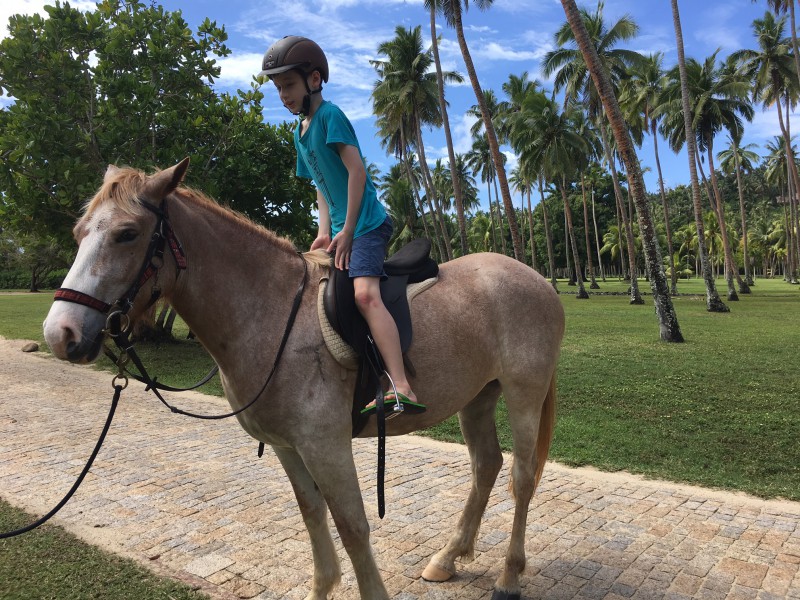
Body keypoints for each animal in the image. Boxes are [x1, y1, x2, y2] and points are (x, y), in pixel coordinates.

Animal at [42, 159, 564, 600]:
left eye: (127, 234)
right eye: (78, 233)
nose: (60, 334)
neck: (271, 313)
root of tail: (538, 279)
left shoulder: (325, 445)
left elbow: (352, 526)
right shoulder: (287, 446)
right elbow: (313, 515)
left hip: (523, 393)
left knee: (521, 477)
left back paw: (509, 577)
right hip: (477, 397)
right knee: (486, 466)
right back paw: (448, 557)